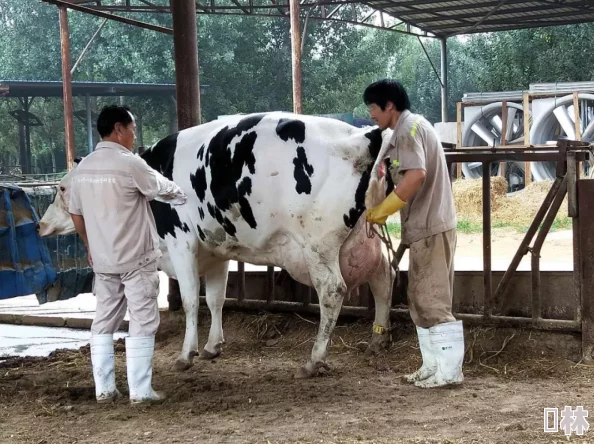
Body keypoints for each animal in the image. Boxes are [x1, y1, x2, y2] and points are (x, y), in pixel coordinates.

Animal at [39, 112, 396, 378]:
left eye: (62, 188)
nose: (41, 224)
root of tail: (361, 136)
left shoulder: (181, 244)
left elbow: (190, 301)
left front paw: (187, 354)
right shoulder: (216, 251)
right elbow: (215, 299)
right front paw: (212, 347)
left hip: (318, 246)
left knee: (333, 291)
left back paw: (315, 359)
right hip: (366, 237)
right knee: (384, 278)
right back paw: (378, 339)